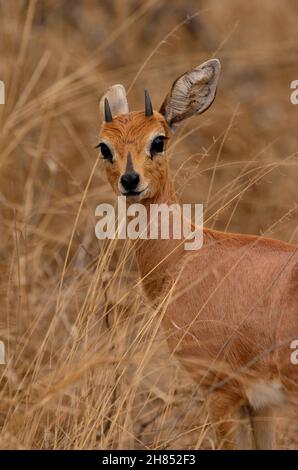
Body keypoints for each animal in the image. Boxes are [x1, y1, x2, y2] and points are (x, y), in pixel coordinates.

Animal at [98, 58, 298, 448]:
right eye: (104, 146)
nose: (130, 180)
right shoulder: (261, 404)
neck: (187, 259)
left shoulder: (220, 391)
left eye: (158, 140)